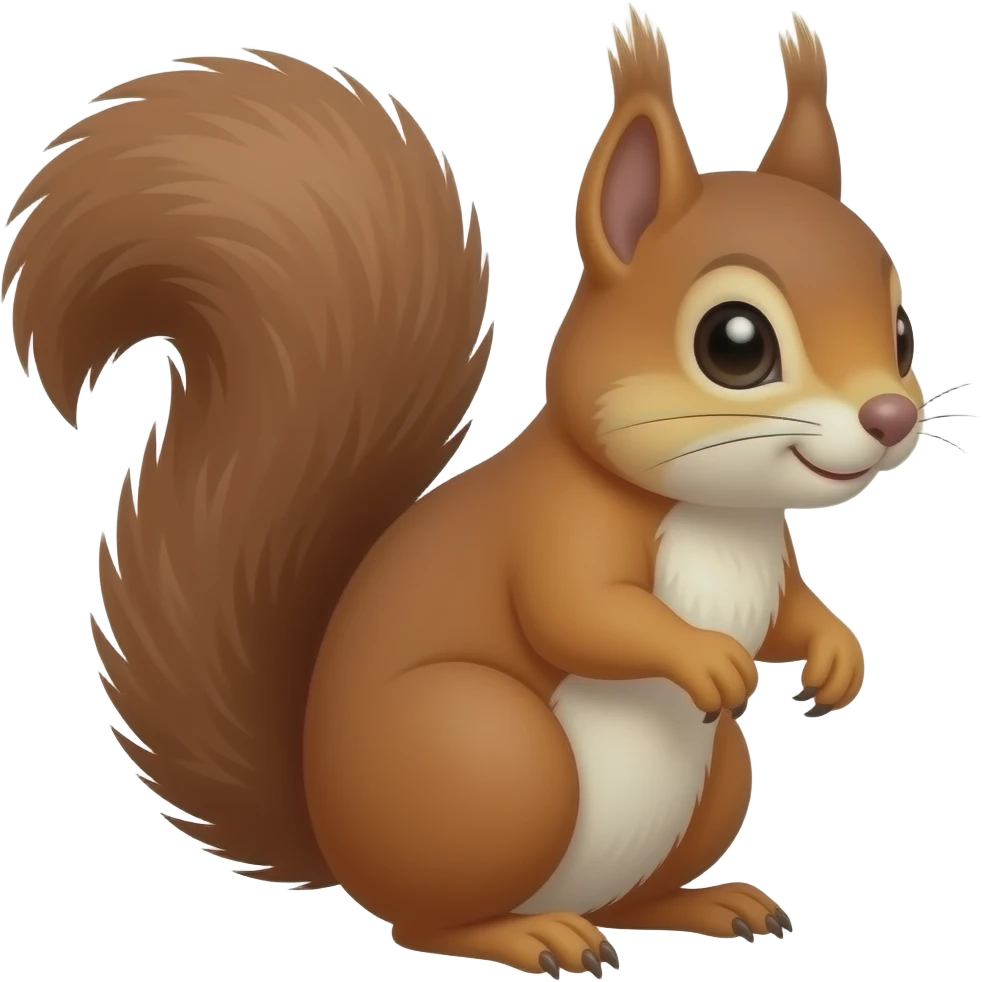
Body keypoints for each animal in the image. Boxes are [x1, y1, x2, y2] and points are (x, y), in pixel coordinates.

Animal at [6, 7, 929, 977]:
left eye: (903, 331)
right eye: (735, 343)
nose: (892, 415)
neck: (717, 514)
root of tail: (337, 845)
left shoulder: (771, 554)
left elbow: (790, 610)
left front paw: (838, 654)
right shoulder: (557, 527)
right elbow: (580, 612)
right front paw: (707, 657)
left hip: (714, 779)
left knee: (628, 899)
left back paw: (701, 903)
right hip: (492, 756)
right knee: (429, 921)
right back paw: (531, 935)